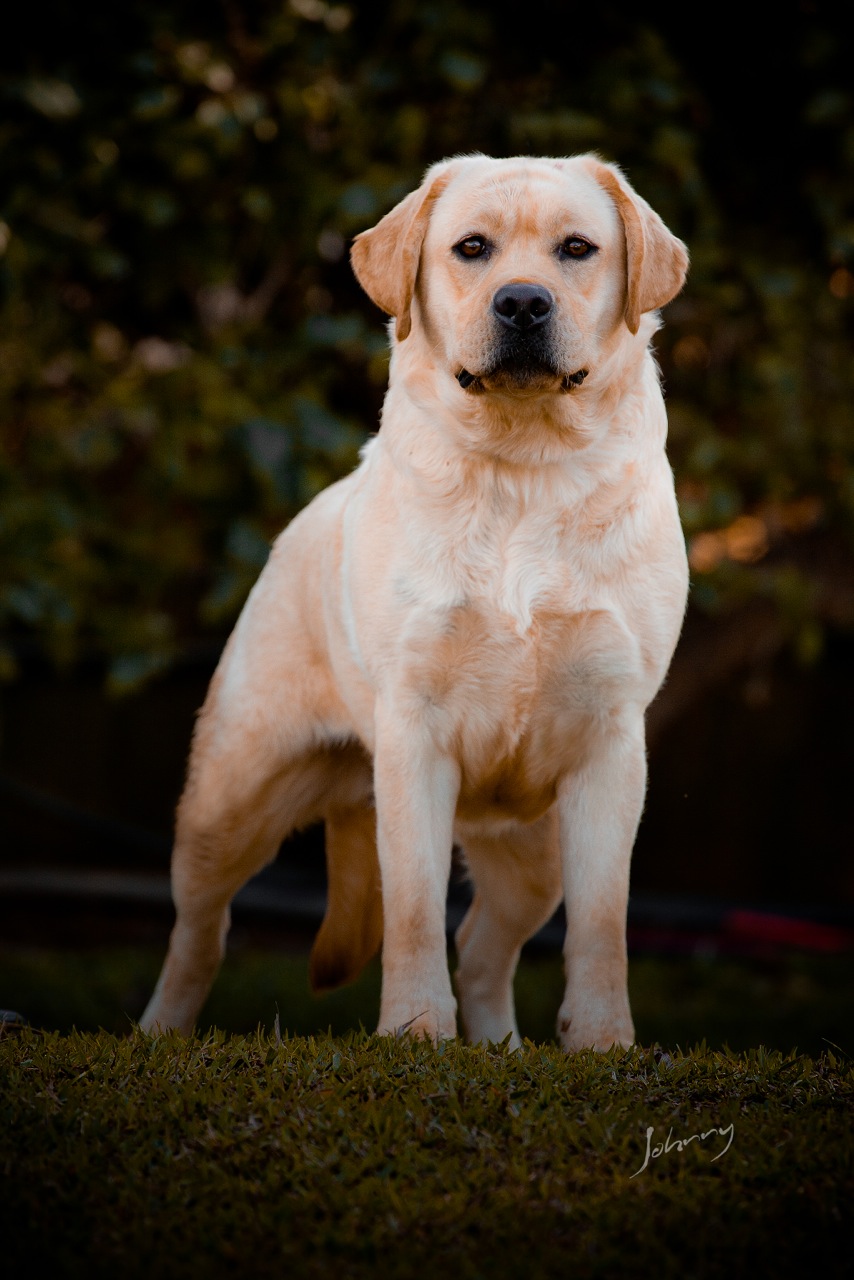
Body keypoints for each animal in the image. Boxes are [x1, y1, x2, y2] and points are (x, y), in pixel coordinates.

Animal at [138, 152, 686, 1049]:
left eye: (577, 249)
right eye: (472, 248)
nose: (523, 302)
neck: (523, 466)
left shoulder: (609, 740)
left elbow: (603, 923)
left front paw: (603, 1041)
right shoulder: (414, 734)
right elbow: (415, 910)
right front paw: (417, 1032)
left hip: (532, 851)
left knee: (487, 945)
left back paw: (500, 1050)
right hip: (229, 800)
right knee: (201, 930)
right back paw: (160, 1033)